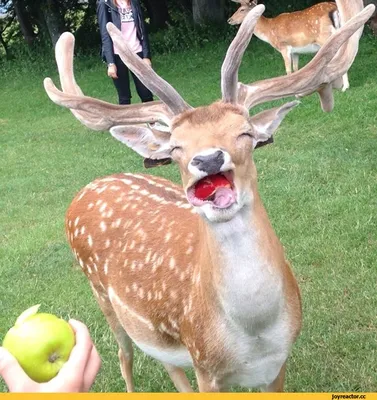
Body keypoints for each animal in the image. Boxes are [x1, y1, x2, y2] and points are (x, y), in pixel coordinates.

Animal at [42, 0, 372, 392]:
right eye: (176, 147)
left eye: (246, 132)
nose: (209, 159)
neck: (254, 334)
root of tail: (87, 189)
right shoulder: (204, 363)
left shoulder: (278, 364)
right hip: (100, 293)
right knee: (124, 356)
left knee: (165, 362)